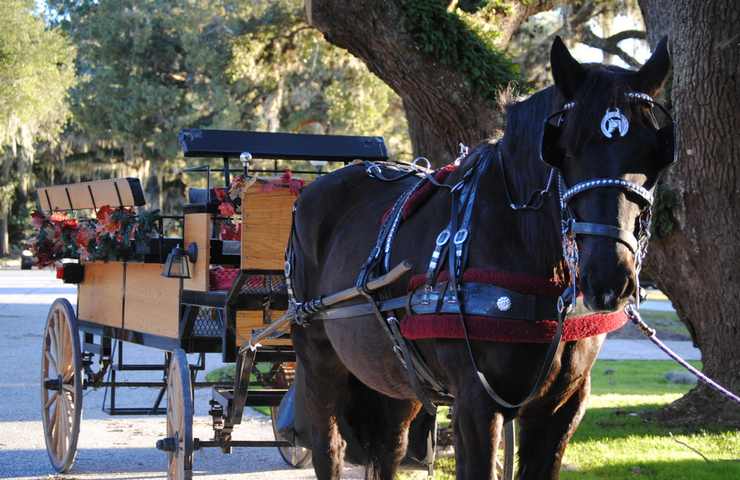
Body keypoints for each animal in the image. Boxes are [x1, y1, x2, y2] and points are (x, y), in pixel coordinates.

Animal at [286, 38, 672, 480]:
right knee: (328, 447)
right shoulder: (476, 401)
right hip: (319, 358)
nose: (609, 278)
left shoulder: (562, 406)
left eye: (653, 154)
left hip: (395, 375)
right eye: (566, 151)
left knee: (387, 448)